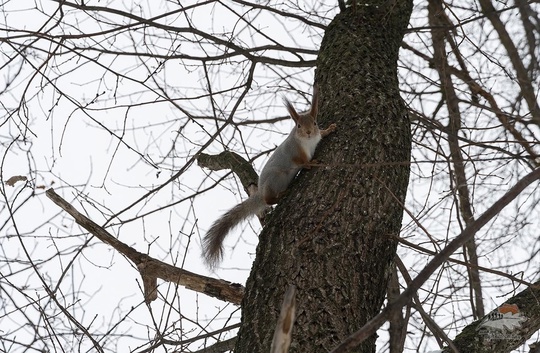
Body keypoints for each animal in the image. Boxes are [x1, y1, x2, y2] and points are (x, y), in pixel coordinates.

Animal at [204, 87, 338, 266]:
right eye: (298, 125)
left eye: (315, 123)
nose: (309, 132)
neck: (308, 142)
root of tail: (261, 192)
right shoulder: (294, 152)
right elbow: (301, 162)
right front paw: (311, 163)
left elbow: (322, 134)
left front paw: (330, 129)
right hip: (276, 179)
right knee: (268, 200)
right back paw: (281, 195)